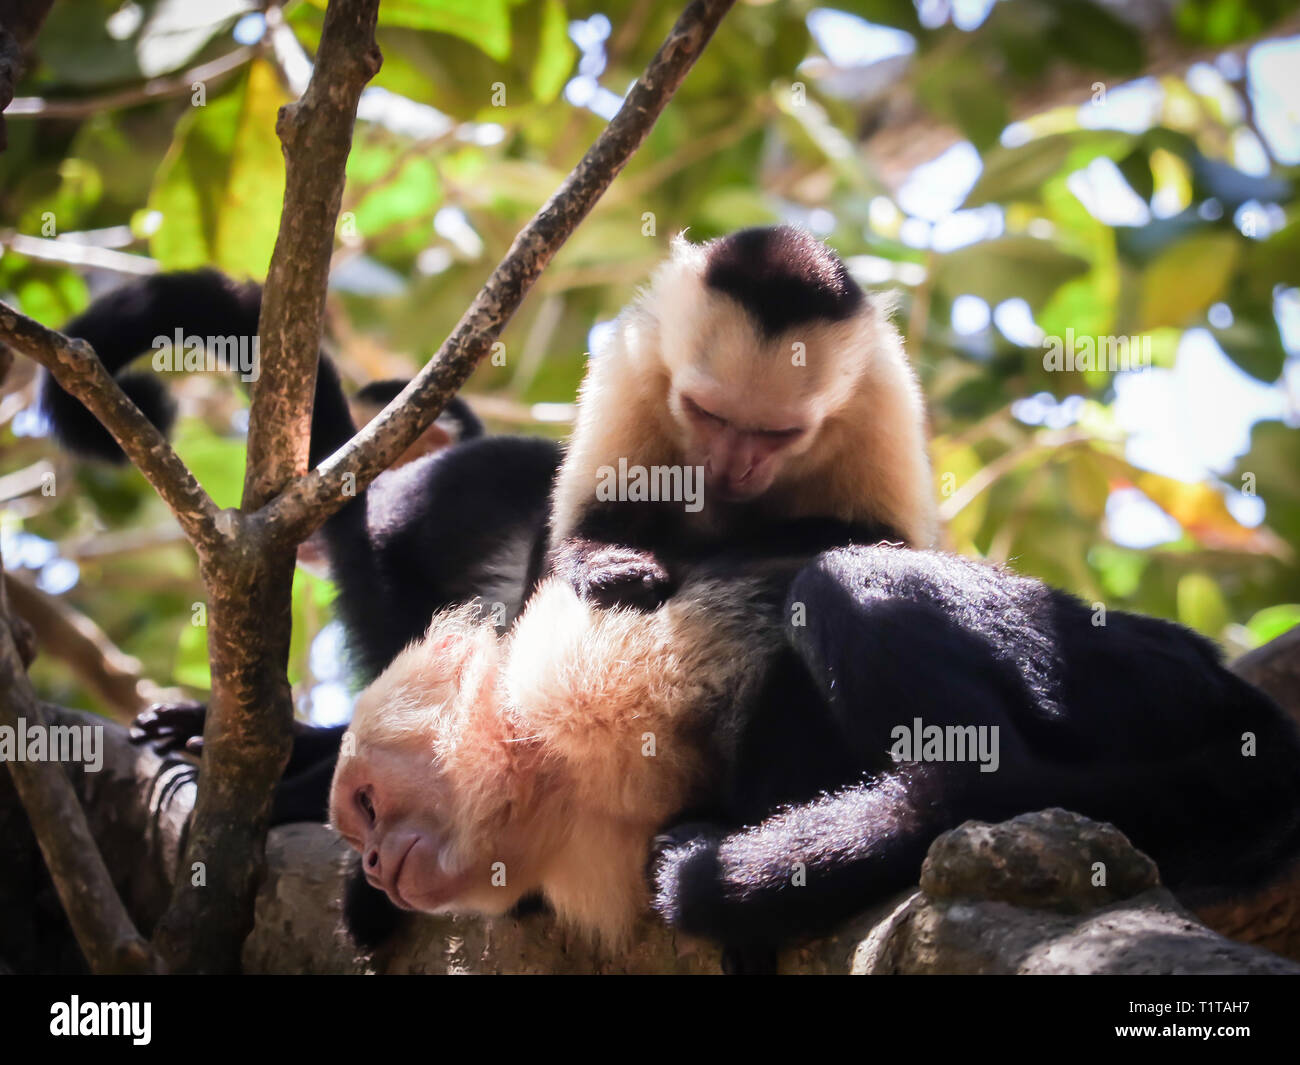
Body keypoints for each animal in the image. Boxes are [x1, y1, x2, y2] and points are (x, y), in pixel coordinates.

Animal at [330, 542, 1300, 966]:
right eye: (358, 833)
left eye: (370, 806)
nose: (373, 863)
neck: (551, 784)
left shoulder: (569, 680)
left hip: (1125, 676)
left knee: (847, 586)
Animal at [544, 225, 937, 609]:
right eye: (705, 412)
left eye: (782, 433)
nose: (733, 468)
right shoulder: (636, 361)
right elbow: (594, 516)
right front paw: (608, 565)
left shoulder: (882, 399)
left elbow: (884, 541)